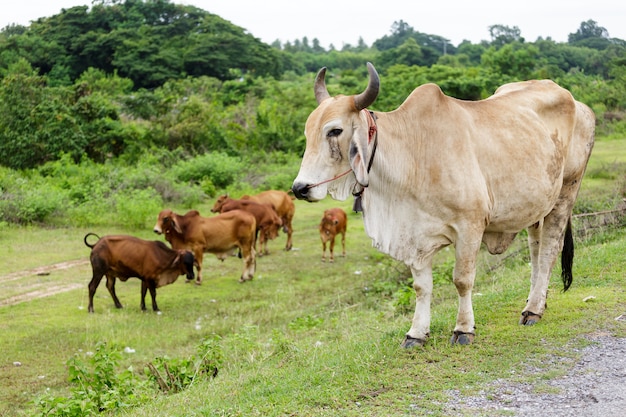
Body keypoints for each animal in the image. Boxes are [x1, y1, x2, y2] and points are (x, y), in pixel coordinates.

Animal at [290, 61, 592, 346]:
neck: (414, 154)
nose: (300, 188)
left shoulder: (470, 225)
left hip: (566, 193)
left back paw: (533, 310)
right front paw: (416, 333)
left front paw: (464, 329)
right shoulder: (415, 234)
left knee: (549, 250)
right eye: (306, 132)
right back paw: (535, 303)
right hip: (537, 205)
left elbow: (462, 279)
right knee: (536, 251)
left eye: (334, 131)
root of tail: (578, 103)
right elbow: (421, 287)